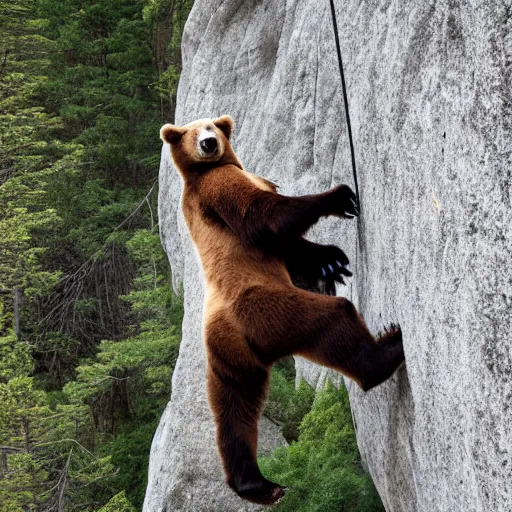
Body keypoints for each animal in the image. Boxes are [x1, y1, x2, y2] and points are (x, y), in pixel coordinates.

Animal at [160, 115, 404, 504]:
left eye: (211, 127)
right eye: (194, 132)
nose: (209, 143)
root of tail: (224, 328)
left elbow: (288, 243)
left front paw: (329, 261)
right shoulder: (217, 185)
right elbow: (261, 218)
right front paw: (338, 197)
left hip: (230, 357)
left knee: (234, 409)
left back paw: (255, 484)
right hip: (265, 310)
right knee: (332, 319)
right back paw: (383, 353)